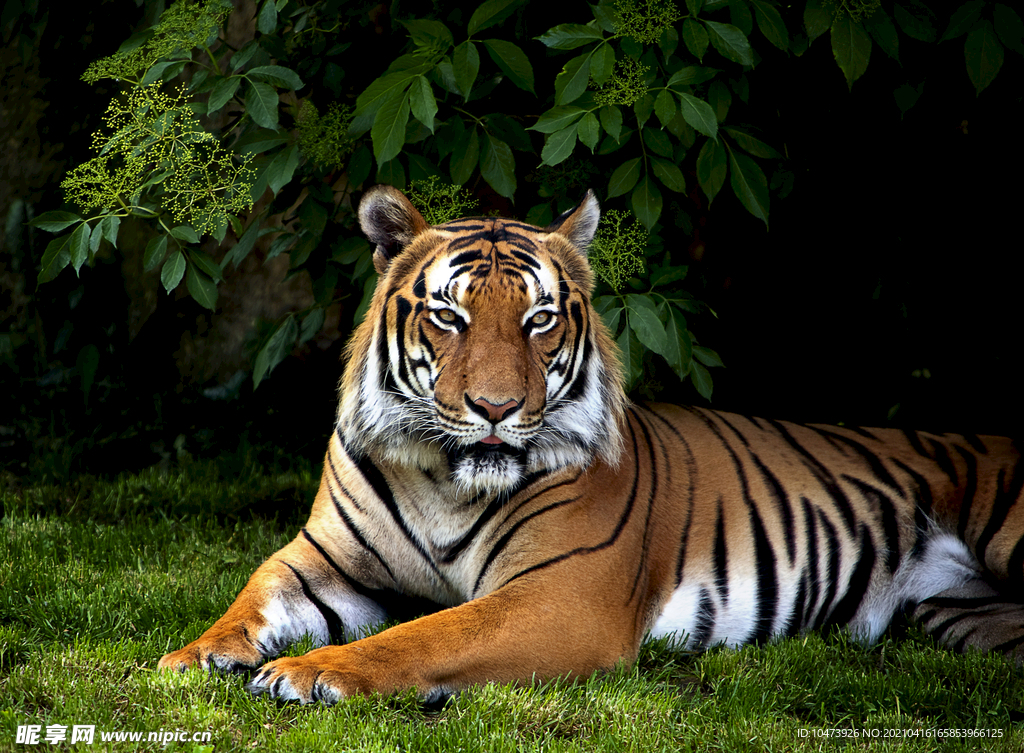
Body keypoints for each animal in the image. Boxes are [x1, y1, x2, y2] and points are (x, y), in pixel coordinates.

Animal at [157, 185, 1024, 704]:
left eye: (539, 318)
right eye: (450, 315)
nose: (496, 408)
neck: (444, 479)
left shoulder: (561, 595)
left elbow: (425, 632)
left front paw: (312, 672)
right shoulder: (322, 557)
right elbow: (254, 593)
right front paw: (194, 655)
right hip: (969, 618)